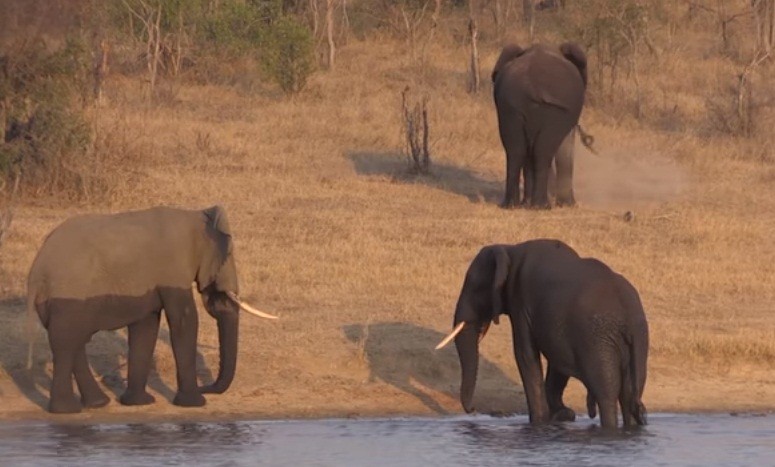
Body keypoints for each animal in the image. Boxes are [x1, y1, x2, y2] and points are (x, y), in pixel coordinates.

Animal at [25, 205, 278, 414]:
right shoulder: (173, 267)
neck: (195, 216)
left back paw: (97, 404)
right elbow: (184, 320)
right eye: (229, 255)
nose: (206, 387)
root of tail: (36, 272)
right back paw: (67, 411)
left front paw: (139, 403)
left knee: (74, 342)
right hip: (68, 298)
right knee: (67, 343)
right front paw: (194, 403)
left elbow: (146, 326)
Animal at [436, 239, 648, 430]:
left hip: (598, 341)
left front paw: (539, 423)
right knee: (630, 395)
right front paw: (561, 416)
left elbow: (525, 355)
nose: (473, 409)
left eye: (474, 287)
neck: (510, 249)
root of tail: (629, 317)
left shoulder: (520, 300)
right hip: (636, 341)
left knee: (607, 394)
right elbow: (556, 362)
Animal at [498, 42, 588, 210]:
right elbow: (565, 148)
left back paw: (512, 205)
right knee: (542, 152)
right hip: (554, 112)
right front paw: (569, 205)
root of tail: (532, 86)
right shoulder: (565, 112)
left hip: (510, 107)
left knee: (516, 150)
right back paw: (541, 206)